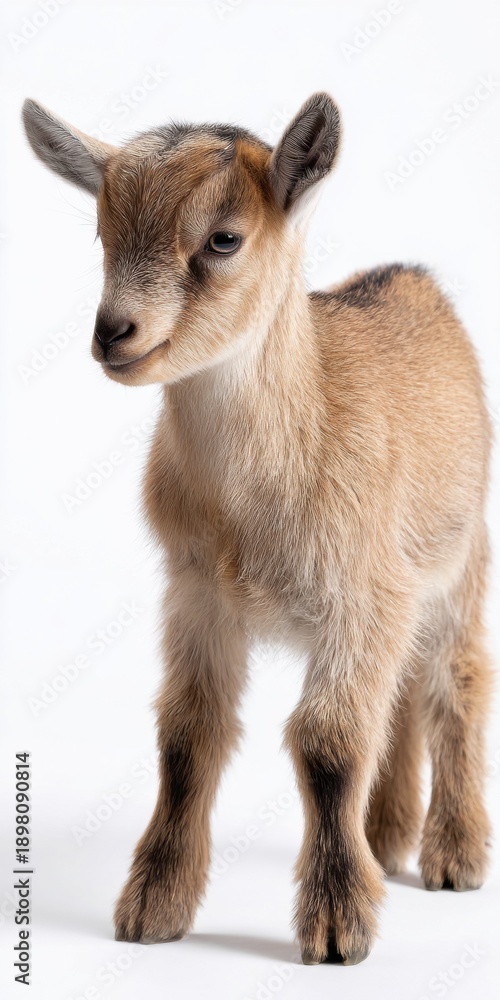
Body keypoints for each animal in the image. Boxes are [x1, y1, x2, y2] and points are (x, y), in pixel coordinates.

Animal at [22, 92, 492, 965]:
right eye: (103, 235)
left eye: (223, 238)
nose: (113, 332)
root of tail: (414, 282)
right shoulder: (197, 593)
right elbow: (187, 736)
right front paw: (153, 909)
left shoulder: (358, 593)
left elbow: (328, 744)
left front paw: (339, 927)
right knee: (402, 692)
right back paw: (388, 839)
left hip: (460, 557)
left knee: (455, 680)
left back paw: (454, 855)